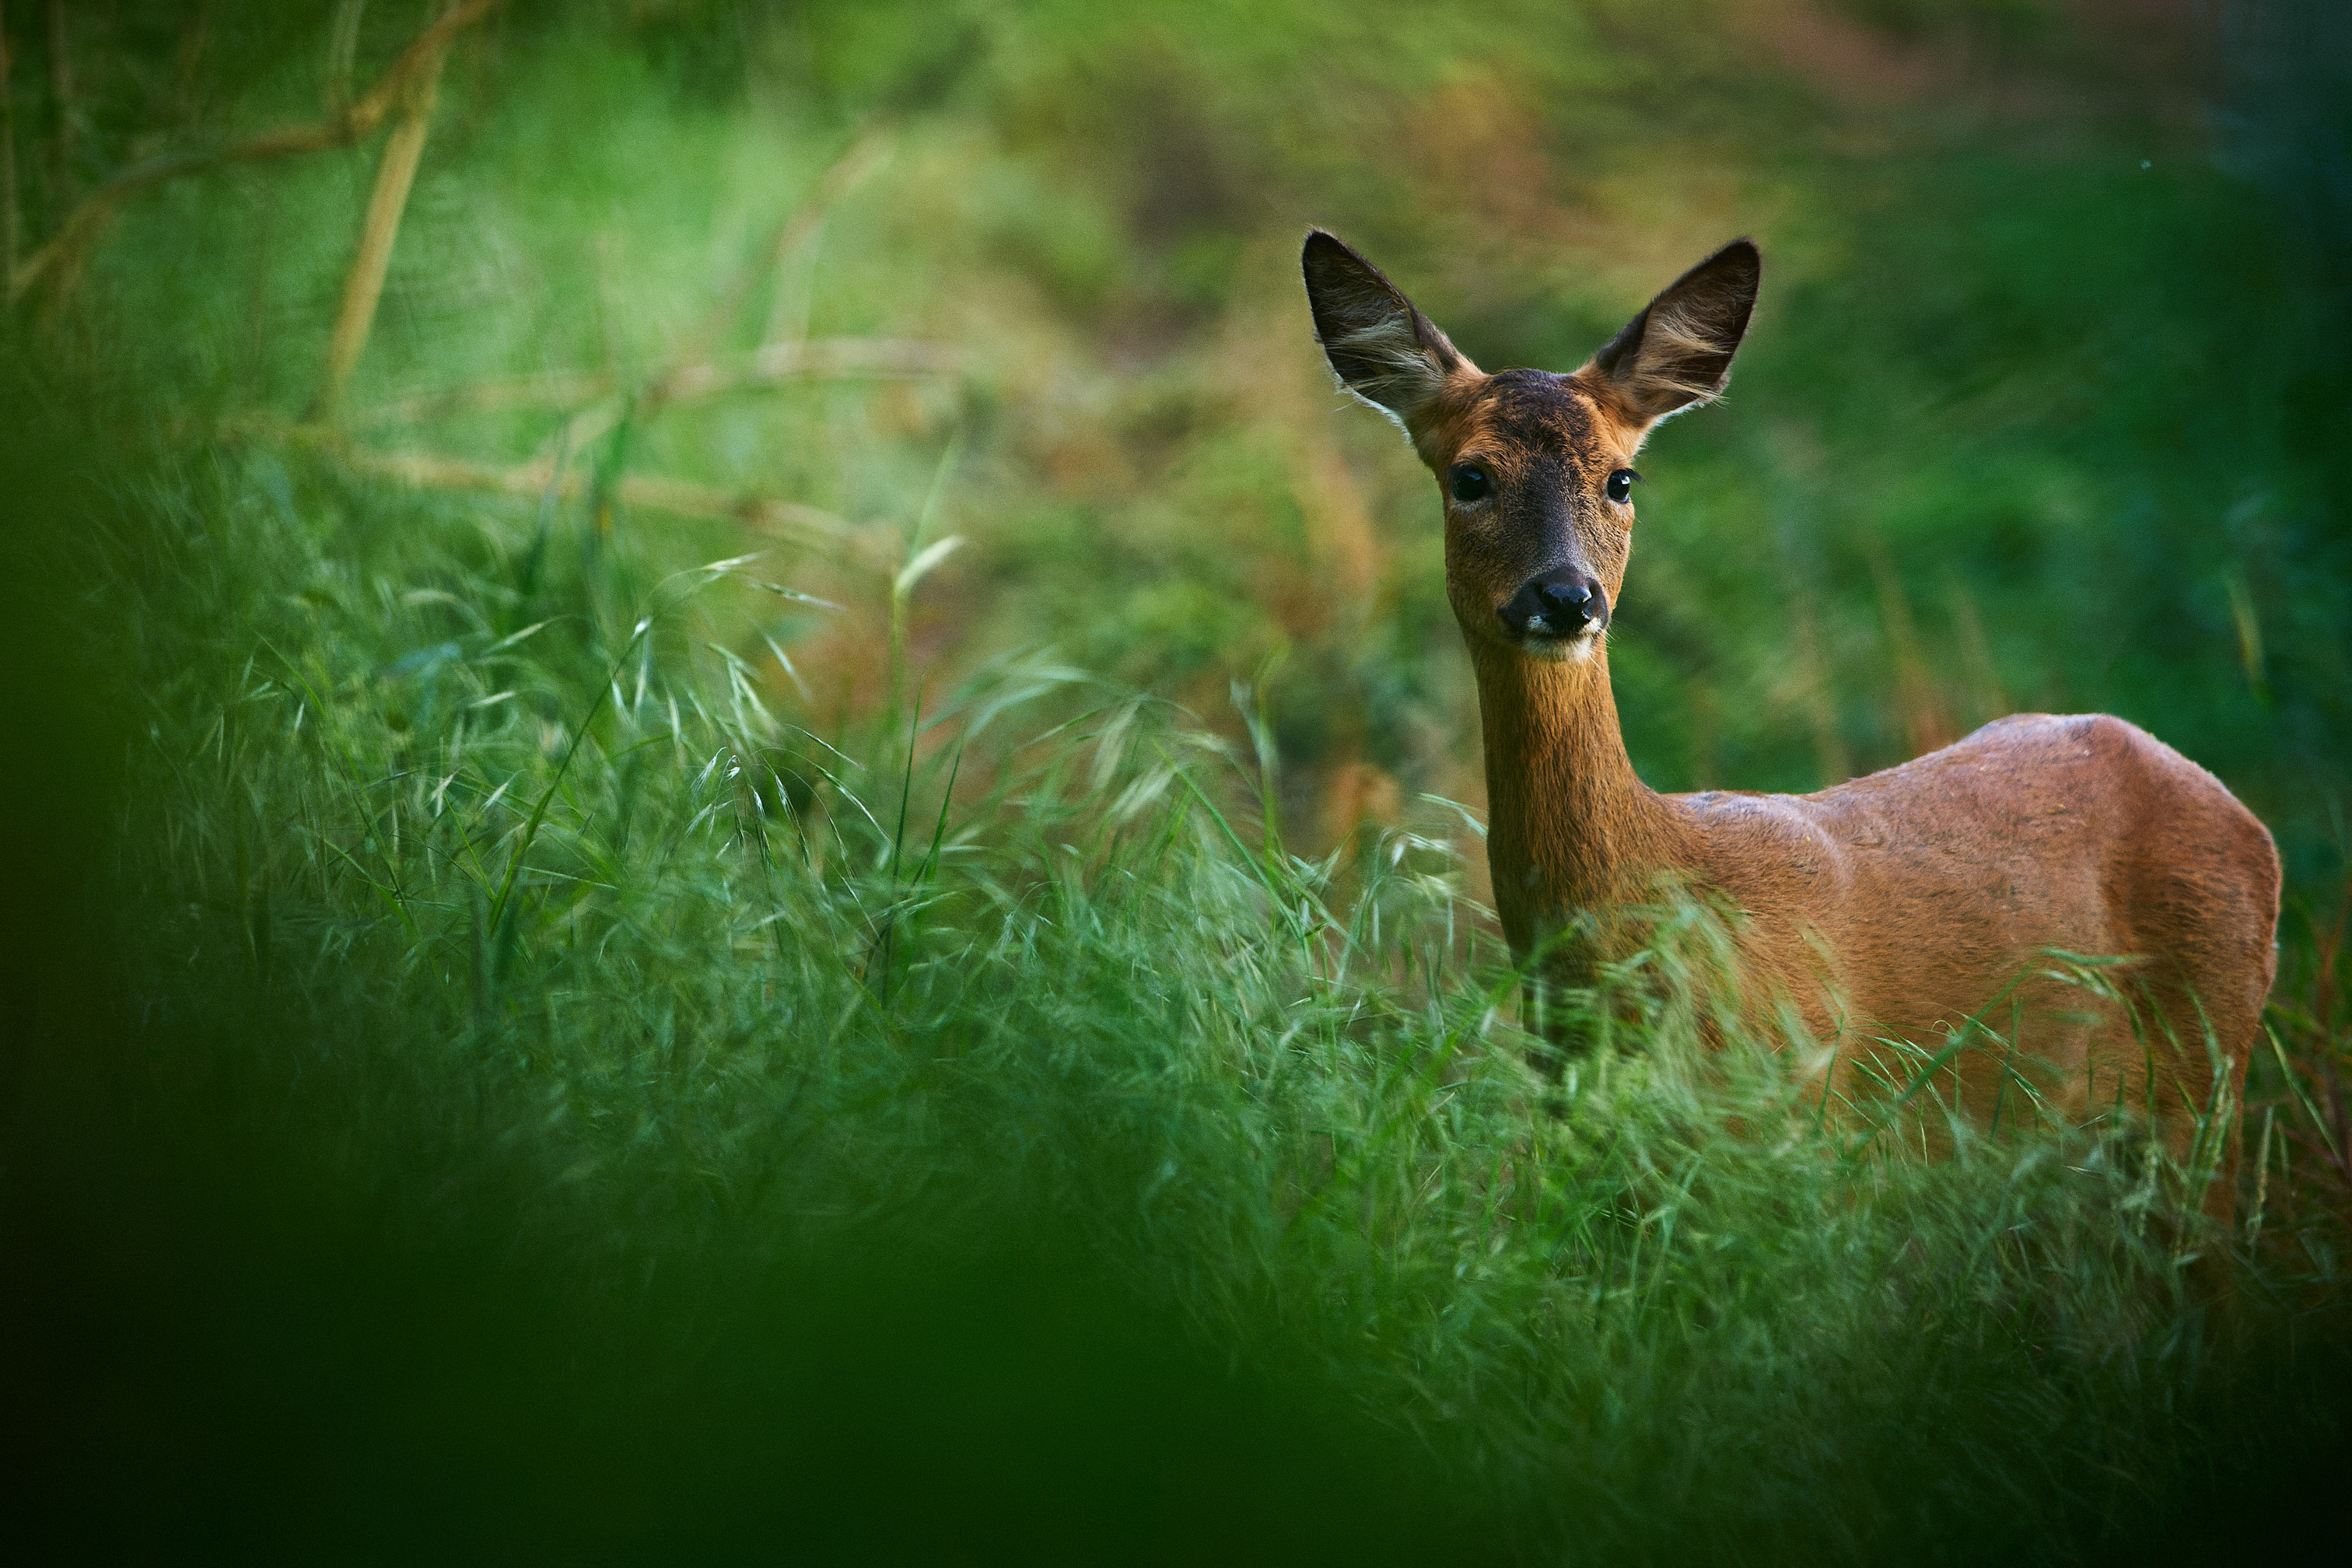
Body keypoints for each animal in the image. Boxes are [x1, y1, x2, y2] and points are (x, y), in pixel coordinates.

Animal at [1301, 228, 2280, 1222]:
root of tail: (2231, 807)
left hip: (2207, 1071)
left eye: (1621, 477)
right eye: (1470, 477)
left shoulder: (1806, 1133)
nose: (1567, 597)